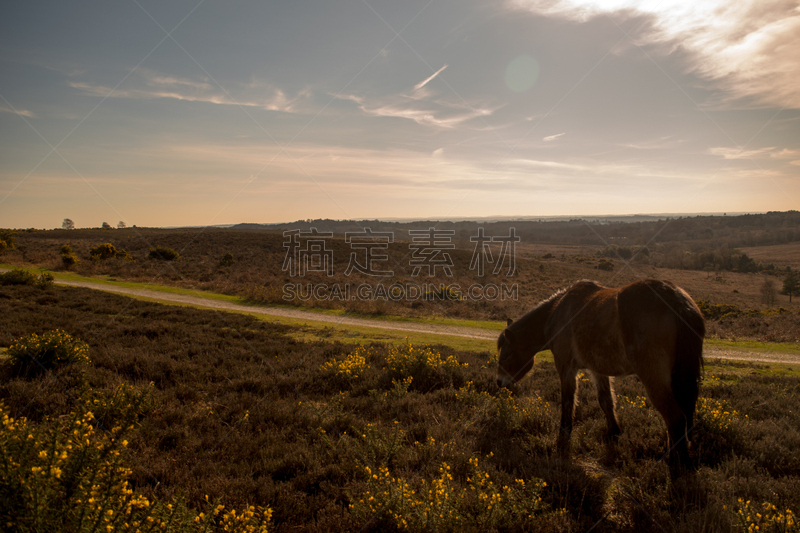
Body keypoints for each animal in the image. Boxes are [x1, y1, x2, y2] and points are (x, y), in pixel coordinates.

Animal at [496, 278, 704, 474]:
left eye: (505, 356)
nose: (499, 382)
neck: (557, 311)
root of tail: (676, 299)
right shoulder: (598, 370)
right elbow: (606, 401)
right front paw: (614, 433)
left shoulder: (566, 368)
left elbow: (568, 403)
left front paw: (562, 440)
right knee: (681, 417)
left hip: (654, 379)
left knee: (676, 419)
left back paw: (681, 467)